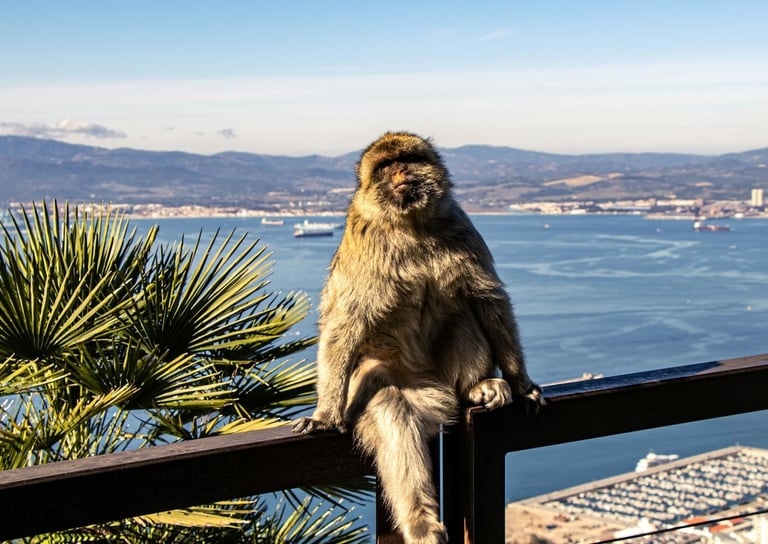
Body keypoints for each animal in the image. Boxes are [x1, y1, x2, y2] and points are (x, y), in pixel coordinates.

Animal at [293, 131, 542, 543]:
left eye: (406, 159)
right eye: (384, 166)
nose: (399, 172)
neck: (409, 225)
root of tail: (433, 389)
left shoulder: (461, 227)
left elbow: (487, 299)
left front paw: (521, 383)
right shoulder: (365, 245)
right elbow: (344, 323)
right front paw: (325, 415)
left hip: (444, 375)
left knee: (462, 316)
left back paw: (477, 387)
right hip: (386, 381)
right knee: (391, 407)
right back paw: (421, 524)